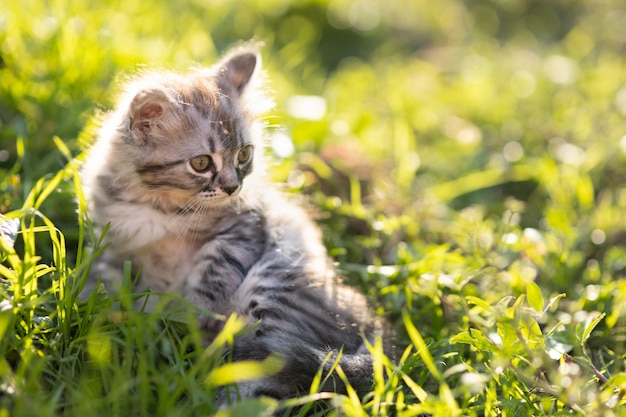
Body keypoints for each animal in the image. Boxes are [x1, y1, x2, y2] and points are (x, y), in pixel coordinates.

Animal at [79, 46, 380, 400]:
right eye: (200, 163)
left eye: (244, 155)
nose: (233, 186)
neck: (156, 204)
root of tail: (373, 324)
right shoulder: (112, 243)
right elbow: (105, 283)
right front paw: (91, 312)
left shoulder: (244, 228)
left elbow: (212, 274)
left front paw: (191, 316)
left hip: (276, 284)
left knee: (277, 368)